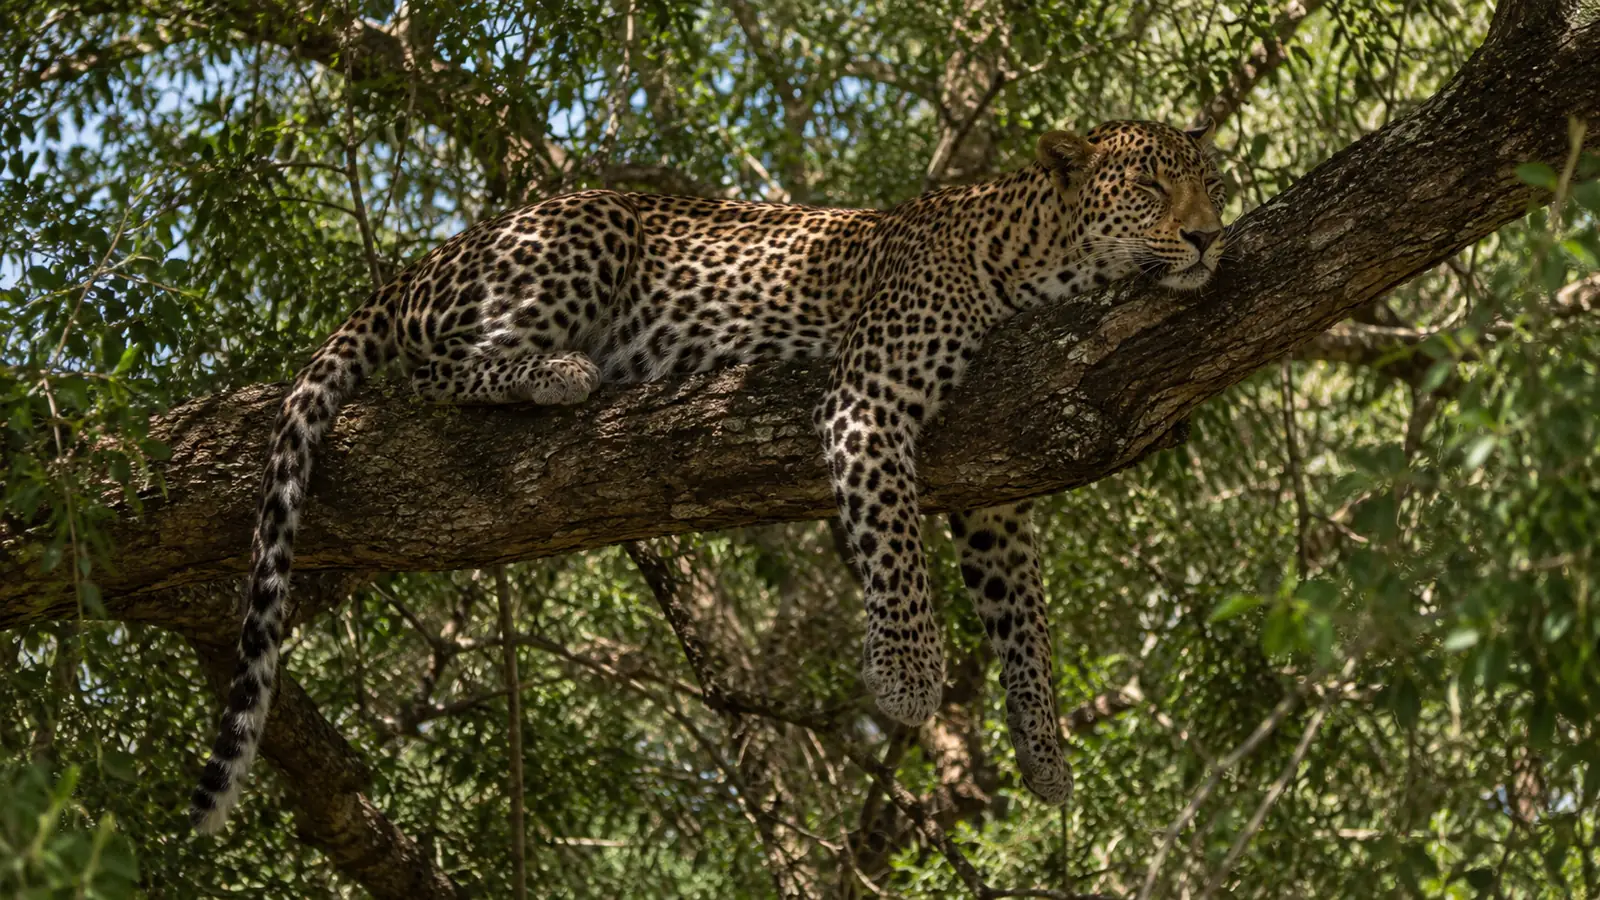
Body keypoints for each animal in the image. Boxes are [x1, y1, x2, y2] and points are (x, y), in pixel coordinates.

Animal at [191, 117, 1228, 833]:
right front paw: (906, 678)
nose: (1212, 239)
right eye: (1149, 185)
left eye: (1213, 183)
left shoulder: (997, 490)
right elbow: (895, 548)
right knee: (437, 368)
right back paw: (560, 372)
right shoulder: (868, 400)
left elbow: (1024, 623)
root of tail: (423, 261)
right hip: (585, 227)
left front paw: (1044, 752)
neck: (1040, 266)